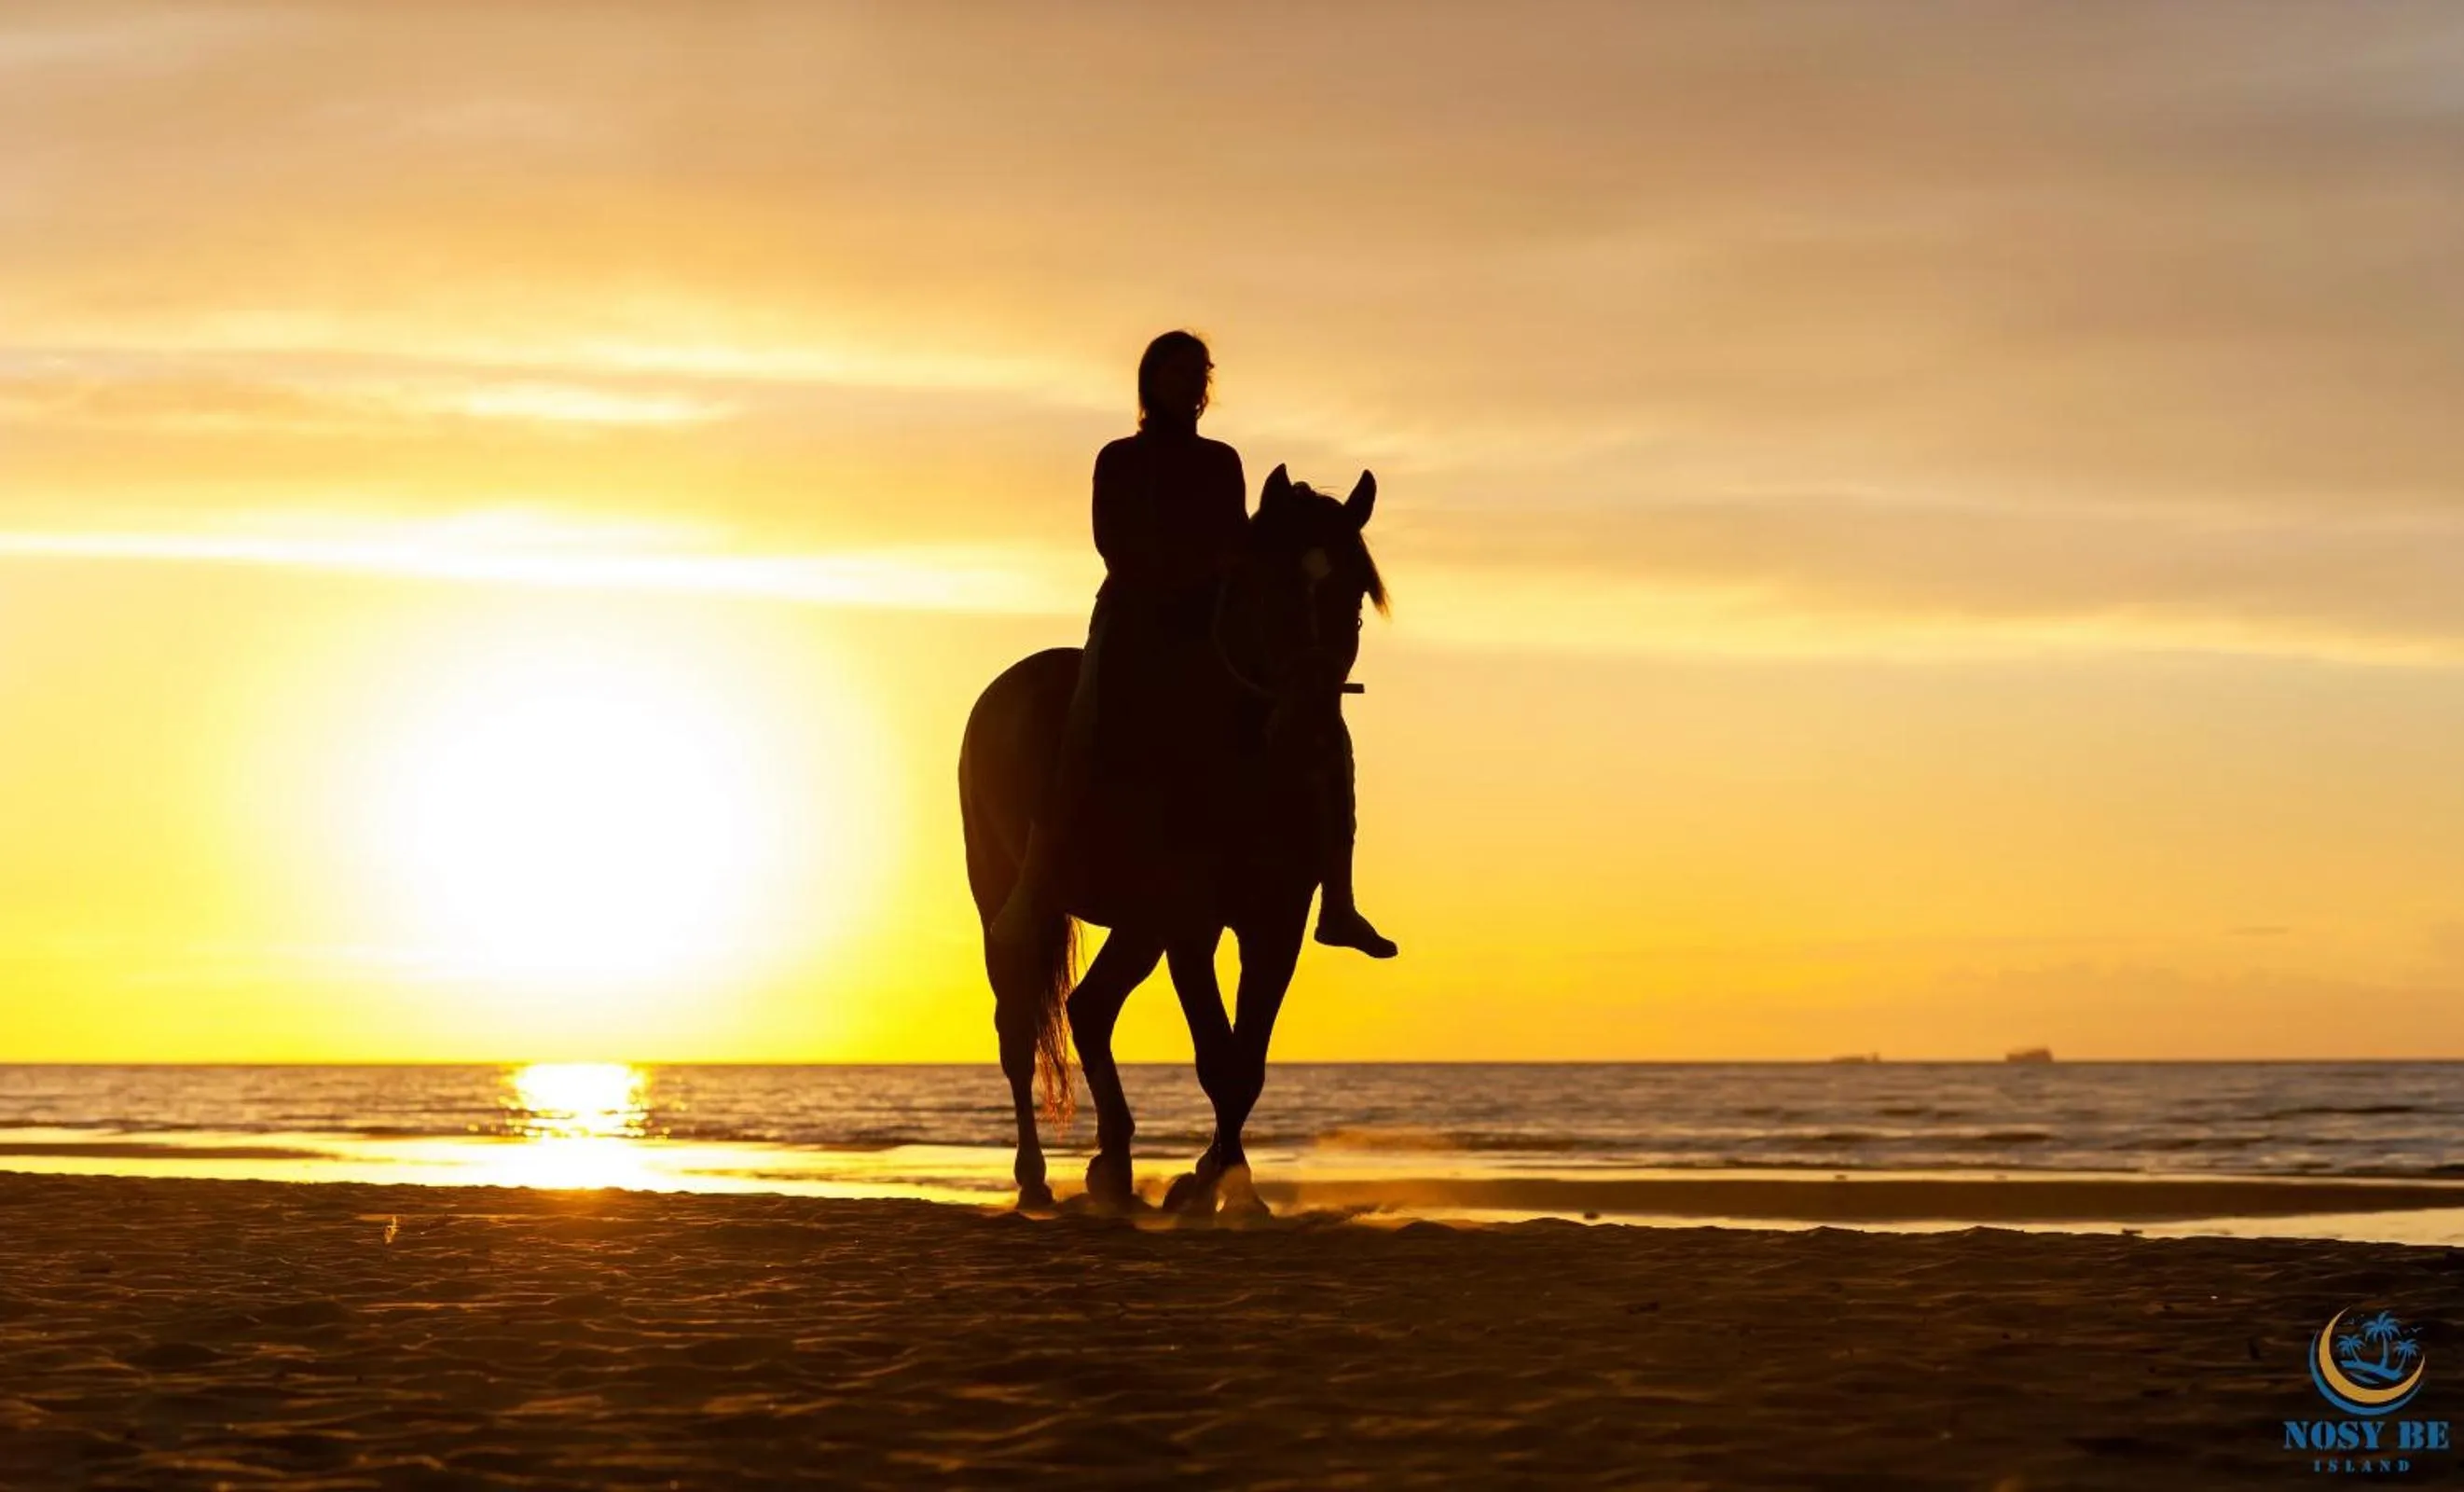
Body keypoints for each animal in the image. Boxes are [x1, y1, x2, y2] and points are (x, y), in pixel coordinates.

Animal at [957, 464, 1386, 1215]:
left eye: (1354, 588)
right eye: (1263, 582)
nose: (1308, 728)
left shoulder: (1274, 924)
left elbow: (1247, 1064)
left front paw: (1220, 1182)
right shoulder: (1191, 923)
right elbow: (1217, 1058)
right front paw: (1210, 1186)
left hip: (1138, 923)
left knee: (1089, 1009)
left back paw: (1114, 1168)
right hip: (1007, 900)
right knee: (1016, 1029)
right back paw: (1035, 1179)